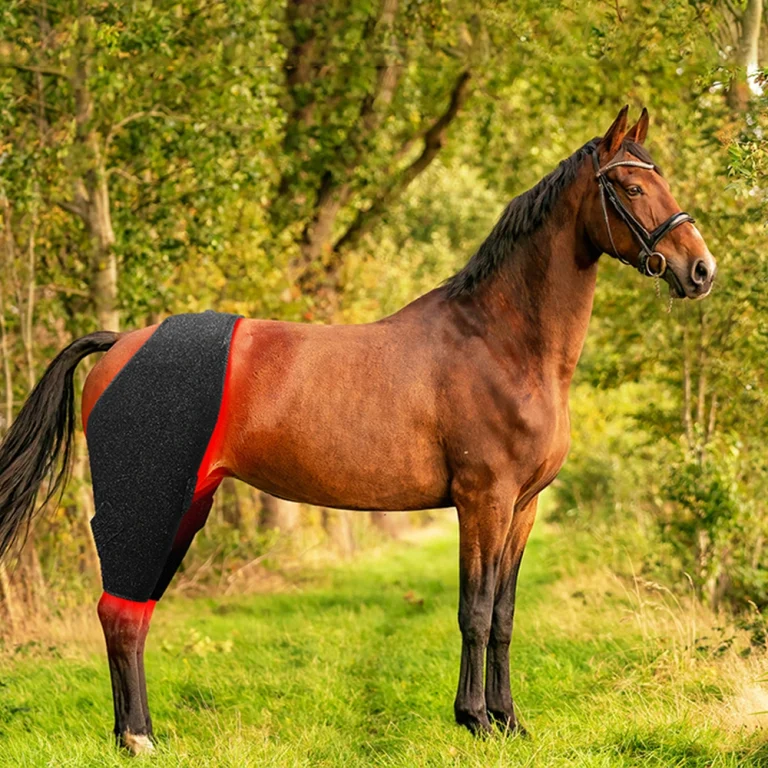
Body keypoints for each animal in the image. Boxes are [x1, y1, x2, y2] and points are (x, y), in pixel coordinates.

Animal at [0, 107, 716, 754]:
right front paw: (476, 721)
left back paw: (137, 733)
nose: (700, 270)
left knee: (134, 614)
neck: (502, 342)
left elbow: (506, 615)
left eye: (662, 178)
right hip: (149, 506)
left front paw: (511, 721)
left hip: (186, 504)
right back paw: (137, 739)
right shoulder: (483, 500)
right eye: (630, 188)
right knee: (120, 612)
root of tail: (120, 342)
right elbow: (476, 610)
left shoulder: (523, 508)